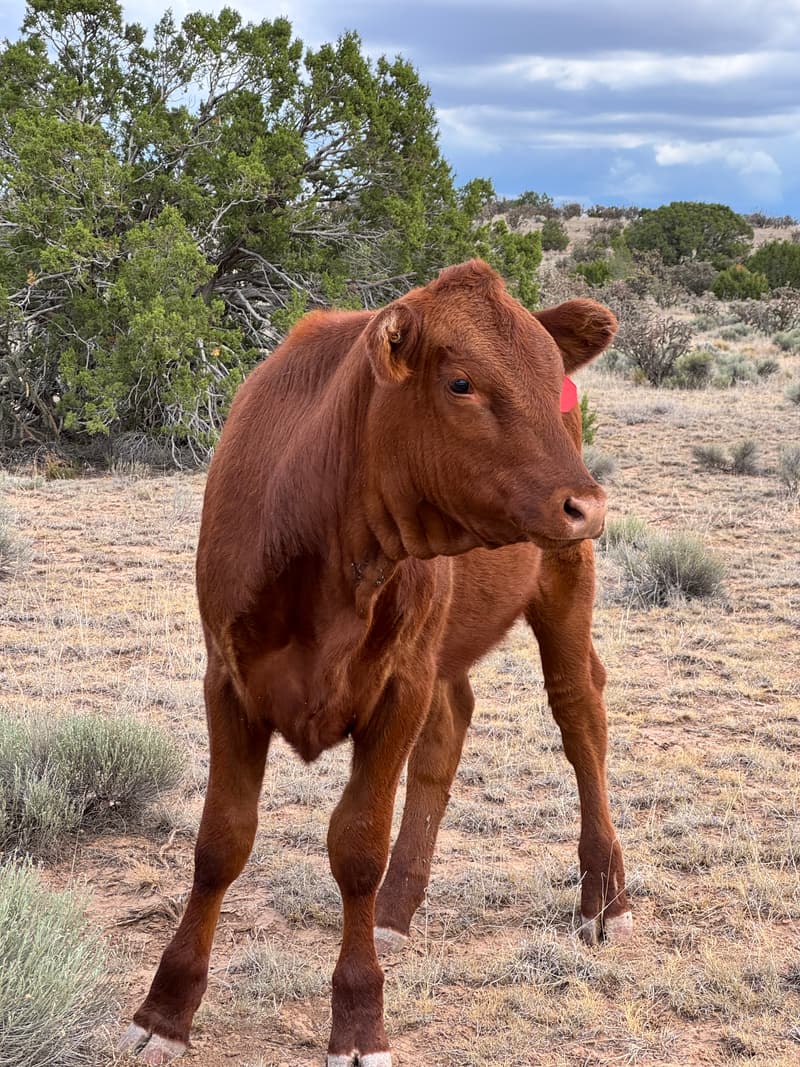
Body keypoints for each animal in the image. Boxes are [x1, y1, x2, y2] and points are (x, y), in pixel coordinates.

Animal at [121, 259, 631, 1066]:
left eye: (553, 381)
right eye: (460, 383)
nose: (586, 503)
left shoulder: (398, 687)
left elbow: (357, 844)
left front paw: (359, 1020)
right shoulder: (227, 679)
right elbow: (221, 840)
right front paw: (166, 1008)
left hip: (563, 581)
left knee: (580, 713)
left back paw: (605, 898)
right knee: (452, 728)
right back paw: (398, 907)